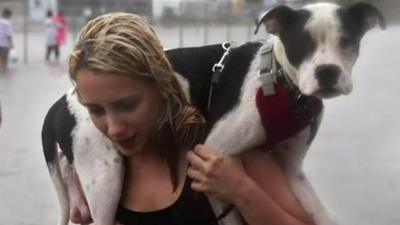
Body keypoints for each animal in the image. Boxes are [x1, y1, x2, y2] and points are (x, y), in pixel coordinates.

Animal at [40, 2, 384, 225]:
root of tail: (61, 101)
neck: (280, 83)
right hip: (106, 175)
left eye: (348, 42)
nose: (328, 72)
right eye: (301, 44)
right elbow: (229, 217)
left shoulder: (292, 168)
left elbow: (323, 215)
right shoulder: (212, 153)